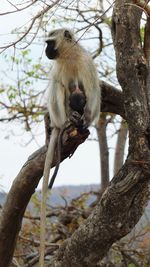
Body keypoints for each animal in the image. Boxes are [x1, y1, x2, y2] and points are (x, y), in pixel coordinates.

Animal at [39, 27, 101, 266]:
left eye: (49, 42)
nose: (46, 51)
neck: (69, 57)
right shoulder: (58, 67)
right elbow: (58, 86)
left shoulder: (86, 63)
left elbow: (93, 91)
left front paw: (85, 119)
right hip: (59, 113)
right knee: (59, 89)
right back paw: (65, 122)